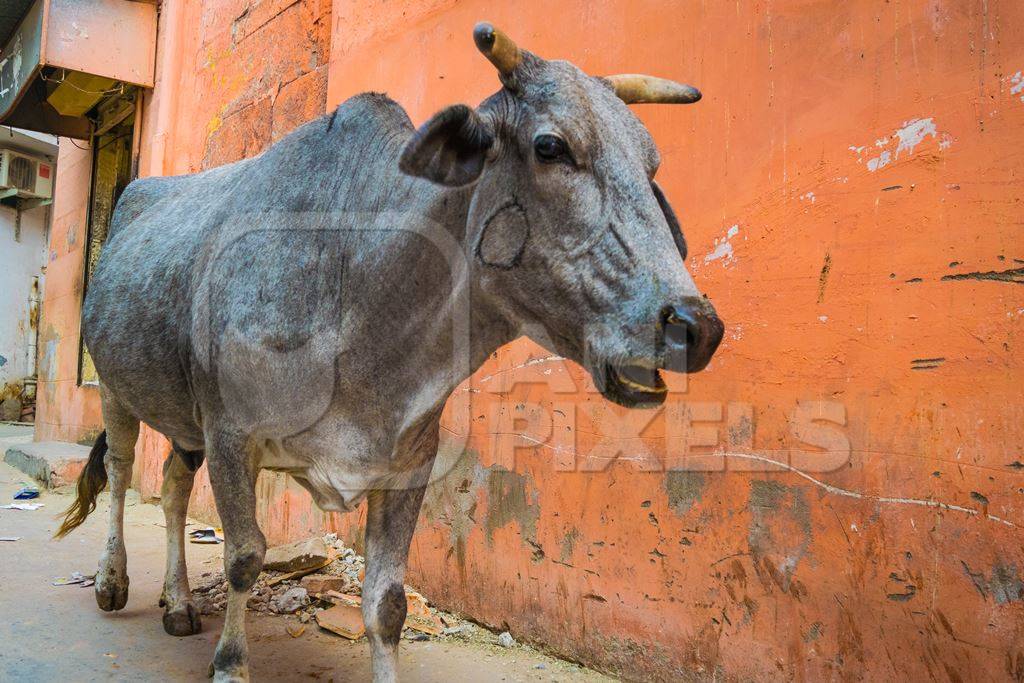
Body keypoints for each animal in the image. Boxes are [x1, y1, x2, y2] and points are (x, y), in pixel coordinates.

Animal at [56, 24, 724, 683]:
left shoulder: (409, 464)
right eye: (551, 146)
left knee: (171, 488)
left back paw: (178, 604)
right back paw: (113, 580)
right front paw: (230, 664)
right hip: (116, 388)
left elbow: (388, 603)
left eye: (651, 162)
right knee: (121, 472)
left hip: (183, 421)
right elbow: (245, 557)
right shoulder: (230, 435)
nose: (695, 325)